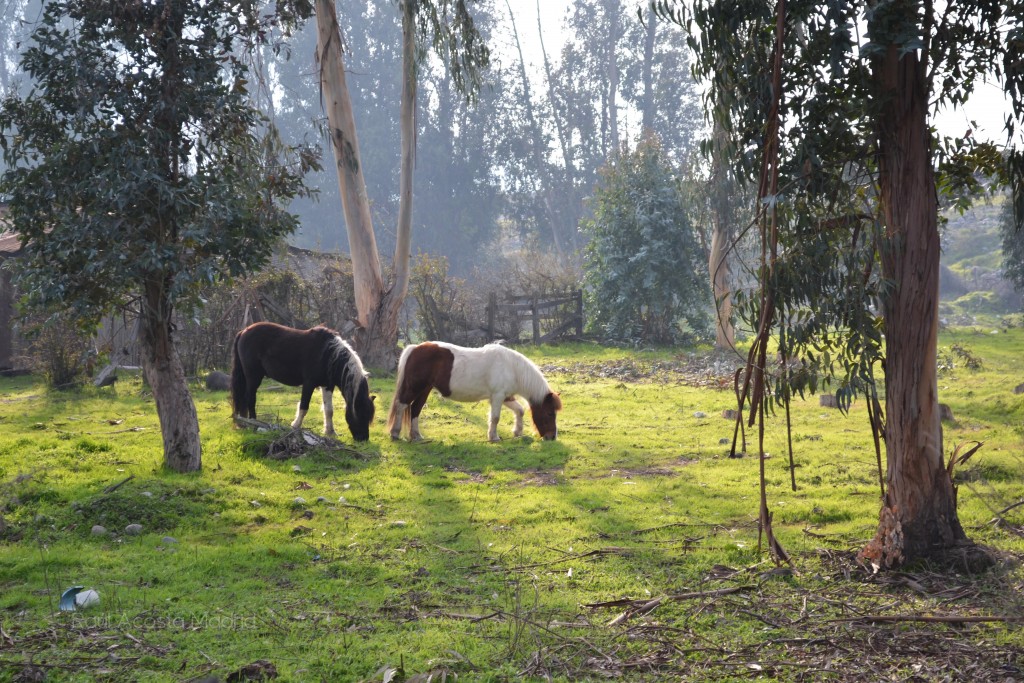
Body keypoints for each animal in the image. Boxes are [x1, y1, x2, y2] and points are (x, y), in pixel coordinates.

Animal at [230, 321, 374, 440]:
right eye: (361, 414)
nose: (363, 439)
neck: (328, 354)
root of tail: (243, 331)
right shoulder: (309, 384)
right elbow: (304, 406)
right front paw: (295, 426)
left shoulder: (327, 385)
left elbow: (329, 410)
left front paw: (330, 432)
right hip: (253, 376)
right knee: (250, 398)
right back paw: (253, 423)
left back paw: (244, 423)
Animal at [385, 342, 561, 444]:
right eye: (550, 413)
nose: (552, 437)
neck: (511, 367)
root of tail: (415, 348)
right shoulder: (497, 396)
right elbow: (495, 418)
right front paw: (494, 437)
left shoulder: (506, 397)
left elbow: (520, 410)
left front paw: (517, 432)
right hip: (415, 388)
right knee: (401, 406)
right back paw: (395, 433)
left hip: (425, 389)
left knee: (415, 409)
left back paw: (416, 436)